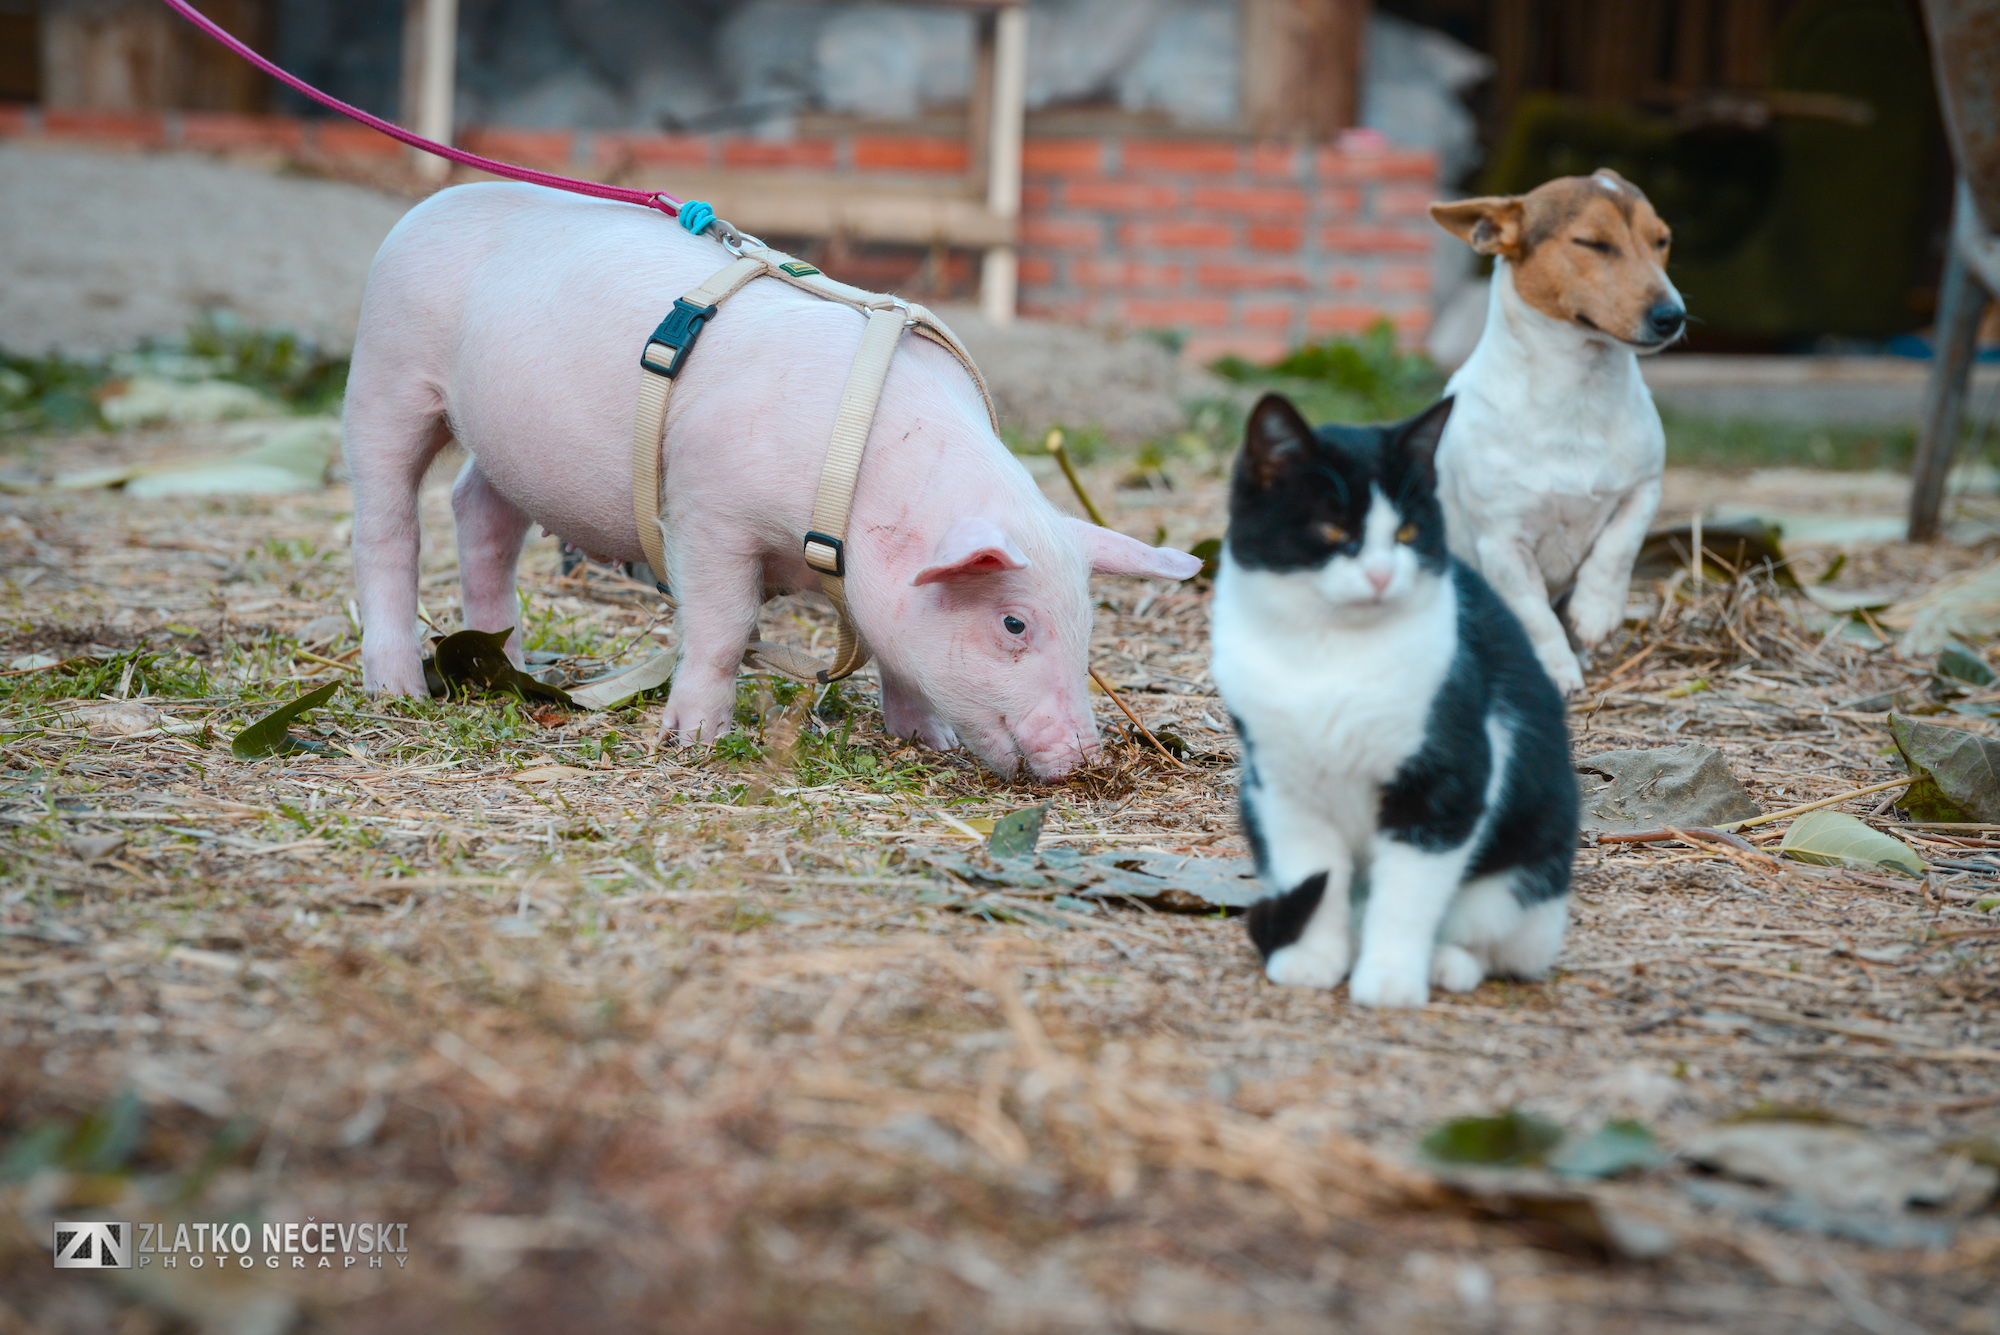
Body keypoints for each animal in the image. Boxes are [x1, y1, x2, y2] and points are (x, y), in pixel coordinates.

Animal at [344, 182, 1192, 775]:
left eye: (1087, 622)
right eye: (1014, 623)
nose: (1086, 758)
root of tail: (428, 206)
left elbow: (899, 658)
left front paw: (932, 738)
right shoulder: (704, 514)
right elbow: (722, 629)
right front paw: (692, 741)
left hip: (510, 450)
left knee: (479, 512)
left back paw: (514, 671)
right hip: (388, 370)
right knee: (388, 523)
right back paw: (399, 689)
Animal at [1200, 391, 1576, 1007]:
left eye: (1407, 533)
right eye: (1331, 529)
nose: (1379, 575)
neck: (1330, 654)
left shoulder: (1446, 783)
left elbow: (1405, 899)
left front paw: (1391, 979)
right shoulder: (1283, 788)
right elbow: (1316, 878)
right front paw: (1313, 959)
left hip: (1528, 872)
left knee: (1502, 939)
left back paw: (1448, 962)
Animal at [1432, 170, 1680, 695]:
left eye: (1662, 240)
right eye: (1593, 243)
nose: (1673, 316)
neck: (1578, 395)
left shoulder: (1644, 489)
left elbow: (1618, 546)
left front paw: (1595, 611)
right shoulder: (1503, 544)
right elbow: (1534, 617)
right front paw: (1555, 671)